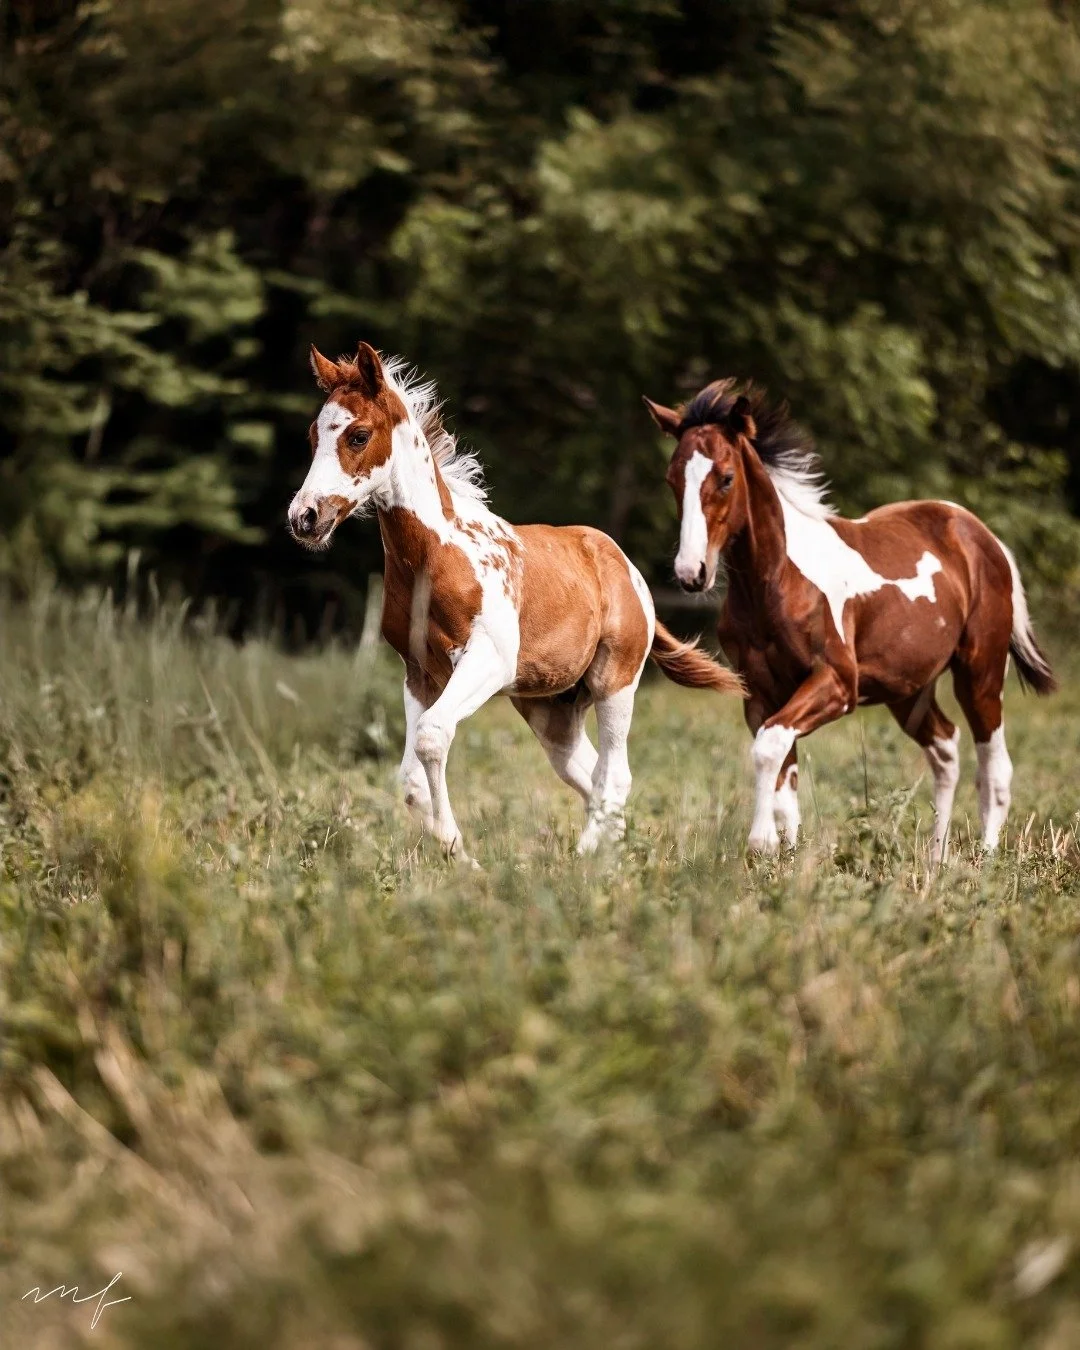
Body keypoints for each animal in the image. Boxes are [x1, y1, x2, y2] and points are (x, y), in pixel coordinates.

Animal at [287, 342, 744, 863]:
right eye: (313, 435)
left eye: (359, 435)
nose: (304, 517)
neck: (436, 553)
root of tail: (628, 572)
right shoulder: (418, 673)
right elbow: (410, 779)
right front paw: (456, 854)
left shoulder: (489, 660)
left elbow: (431, 737)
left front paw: (460, 853)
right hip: (551, 709)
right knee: (587, 772)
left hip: (615, 681)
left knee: (615, 775)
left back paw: (584, 857)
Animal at [643, 379, 1056, 862]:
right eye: (672, 479)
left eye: (726, 478)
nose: (692, 573)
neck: (775, 584)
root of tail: (983, 536)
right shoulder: (761, 692)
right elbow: (783, 769)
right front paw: (785, 854)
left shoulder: (838, 683)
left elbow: (768, 748)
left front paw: (761, 844)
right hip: (907, 689)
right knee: (946, 748)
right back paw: (936, 858)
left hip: (981, 673)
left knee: (995, 767)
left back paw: (985, 857)